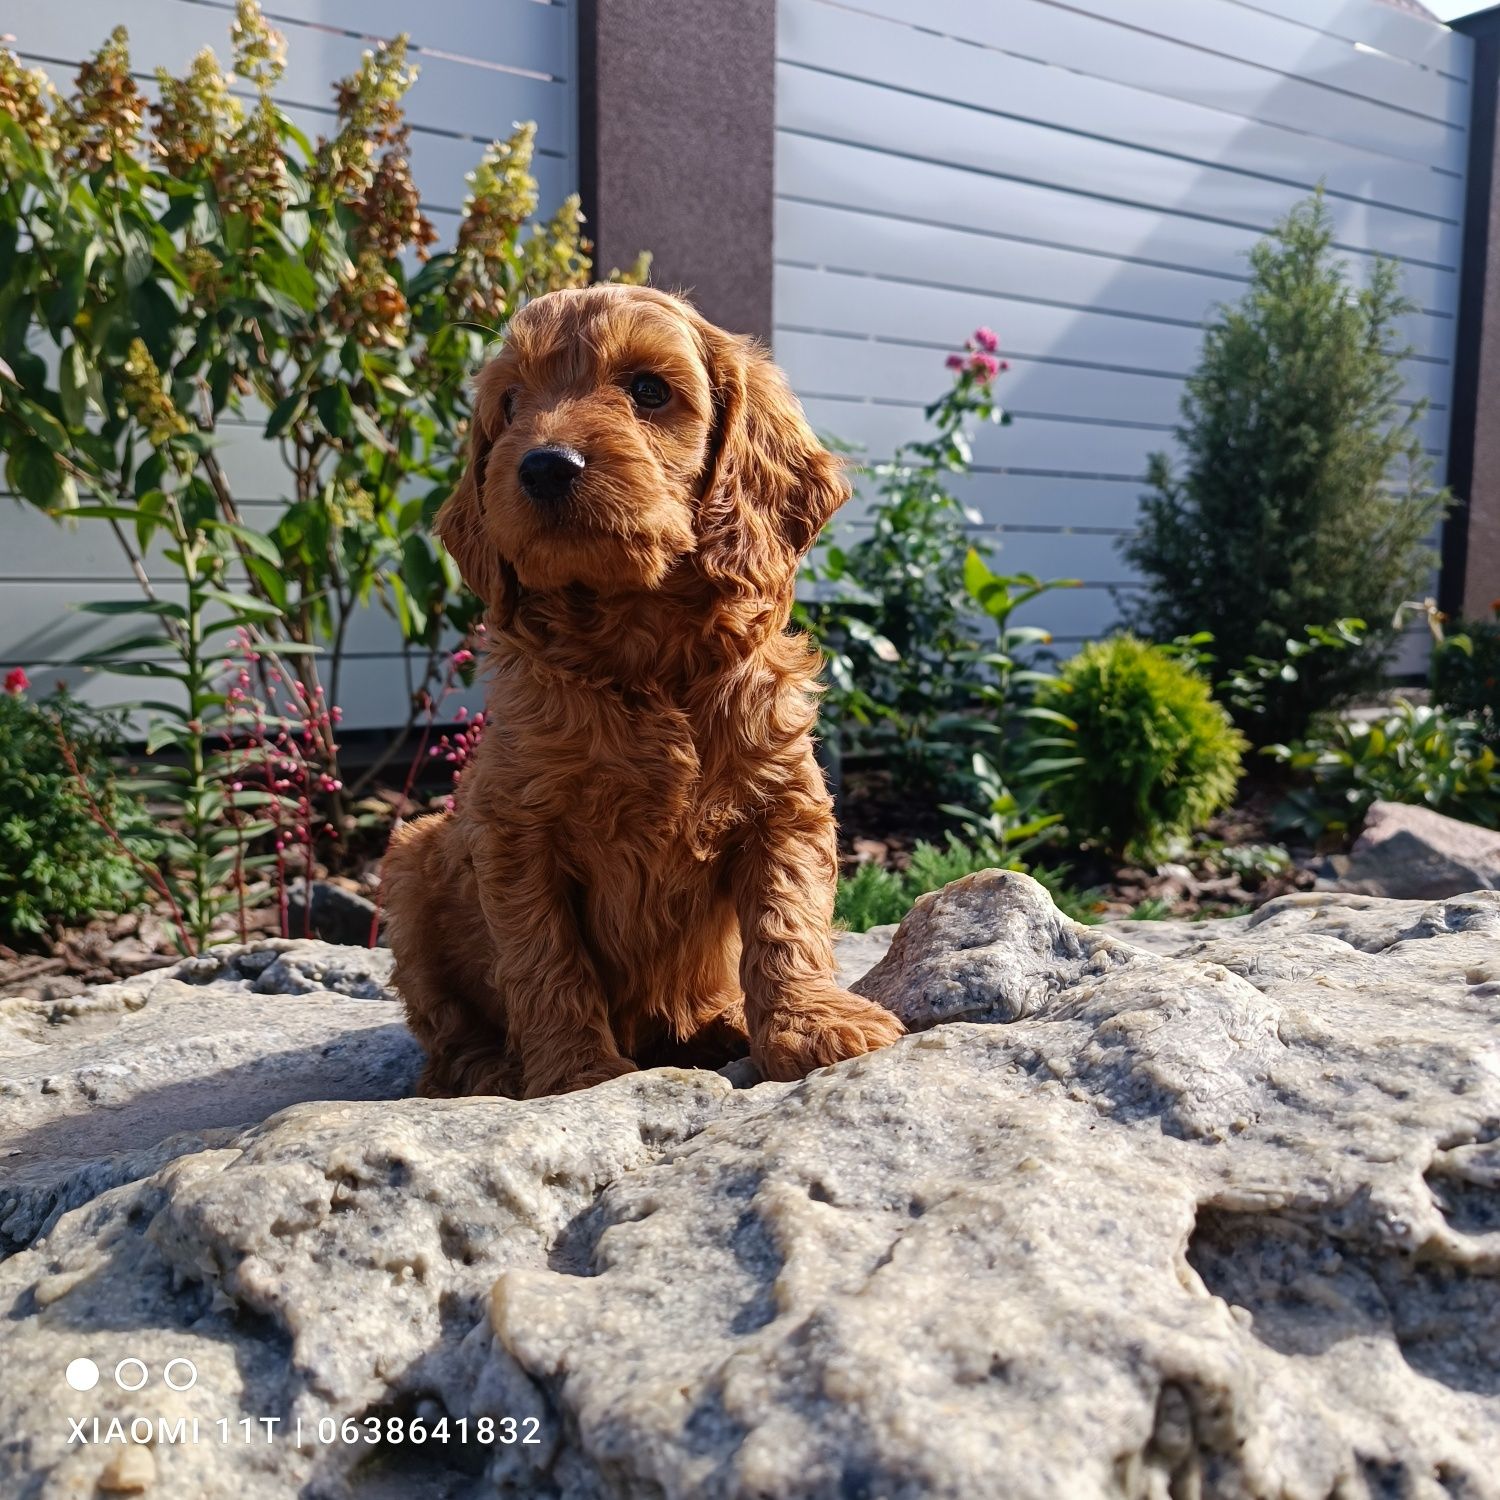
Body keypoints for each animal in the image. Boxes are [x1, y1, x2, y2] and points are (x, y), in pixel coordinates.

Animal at [387, 283, 900, 1104]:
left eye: (649, 391)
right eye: (510, 405)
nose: (544, 465)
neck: (642, 647)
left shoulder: (784, 805)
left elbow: (786, 919)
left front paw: (813, 1024)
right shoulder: (515, 832)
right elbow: (545, 957)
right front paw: (576, 1074)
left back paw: (717, 1022)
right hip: (411, 862)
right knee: (445, 1029)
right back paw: (488, 1068)